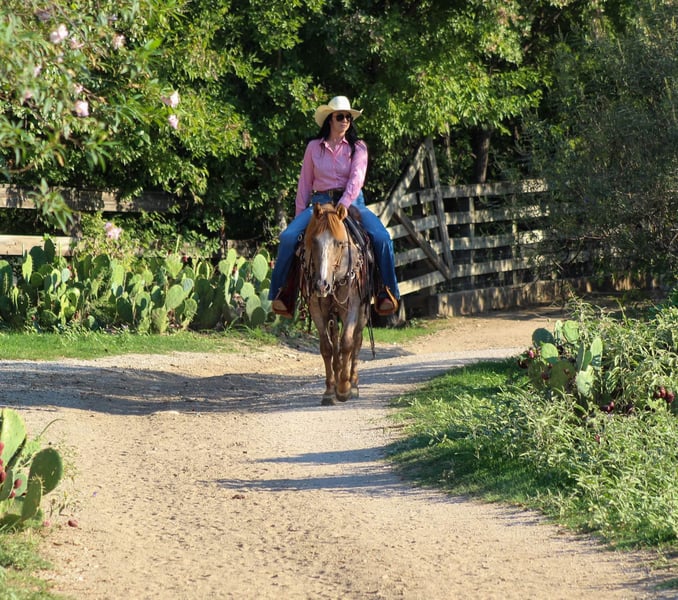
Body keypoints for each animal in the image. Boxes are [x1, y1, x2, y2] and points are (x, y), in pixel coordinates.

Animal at [299, 202, 372, 405]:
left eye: (339, 243)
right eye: (314, 241)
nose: (321, 285)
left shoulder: (352, 306)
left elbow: (347, 343)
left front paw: (344, 388)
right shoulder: (317, 308)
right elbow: (327, 347)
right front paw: (330, 391)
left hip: (362, 312)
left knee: (357, 341)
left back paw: (353, 383)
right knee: (336, 344)